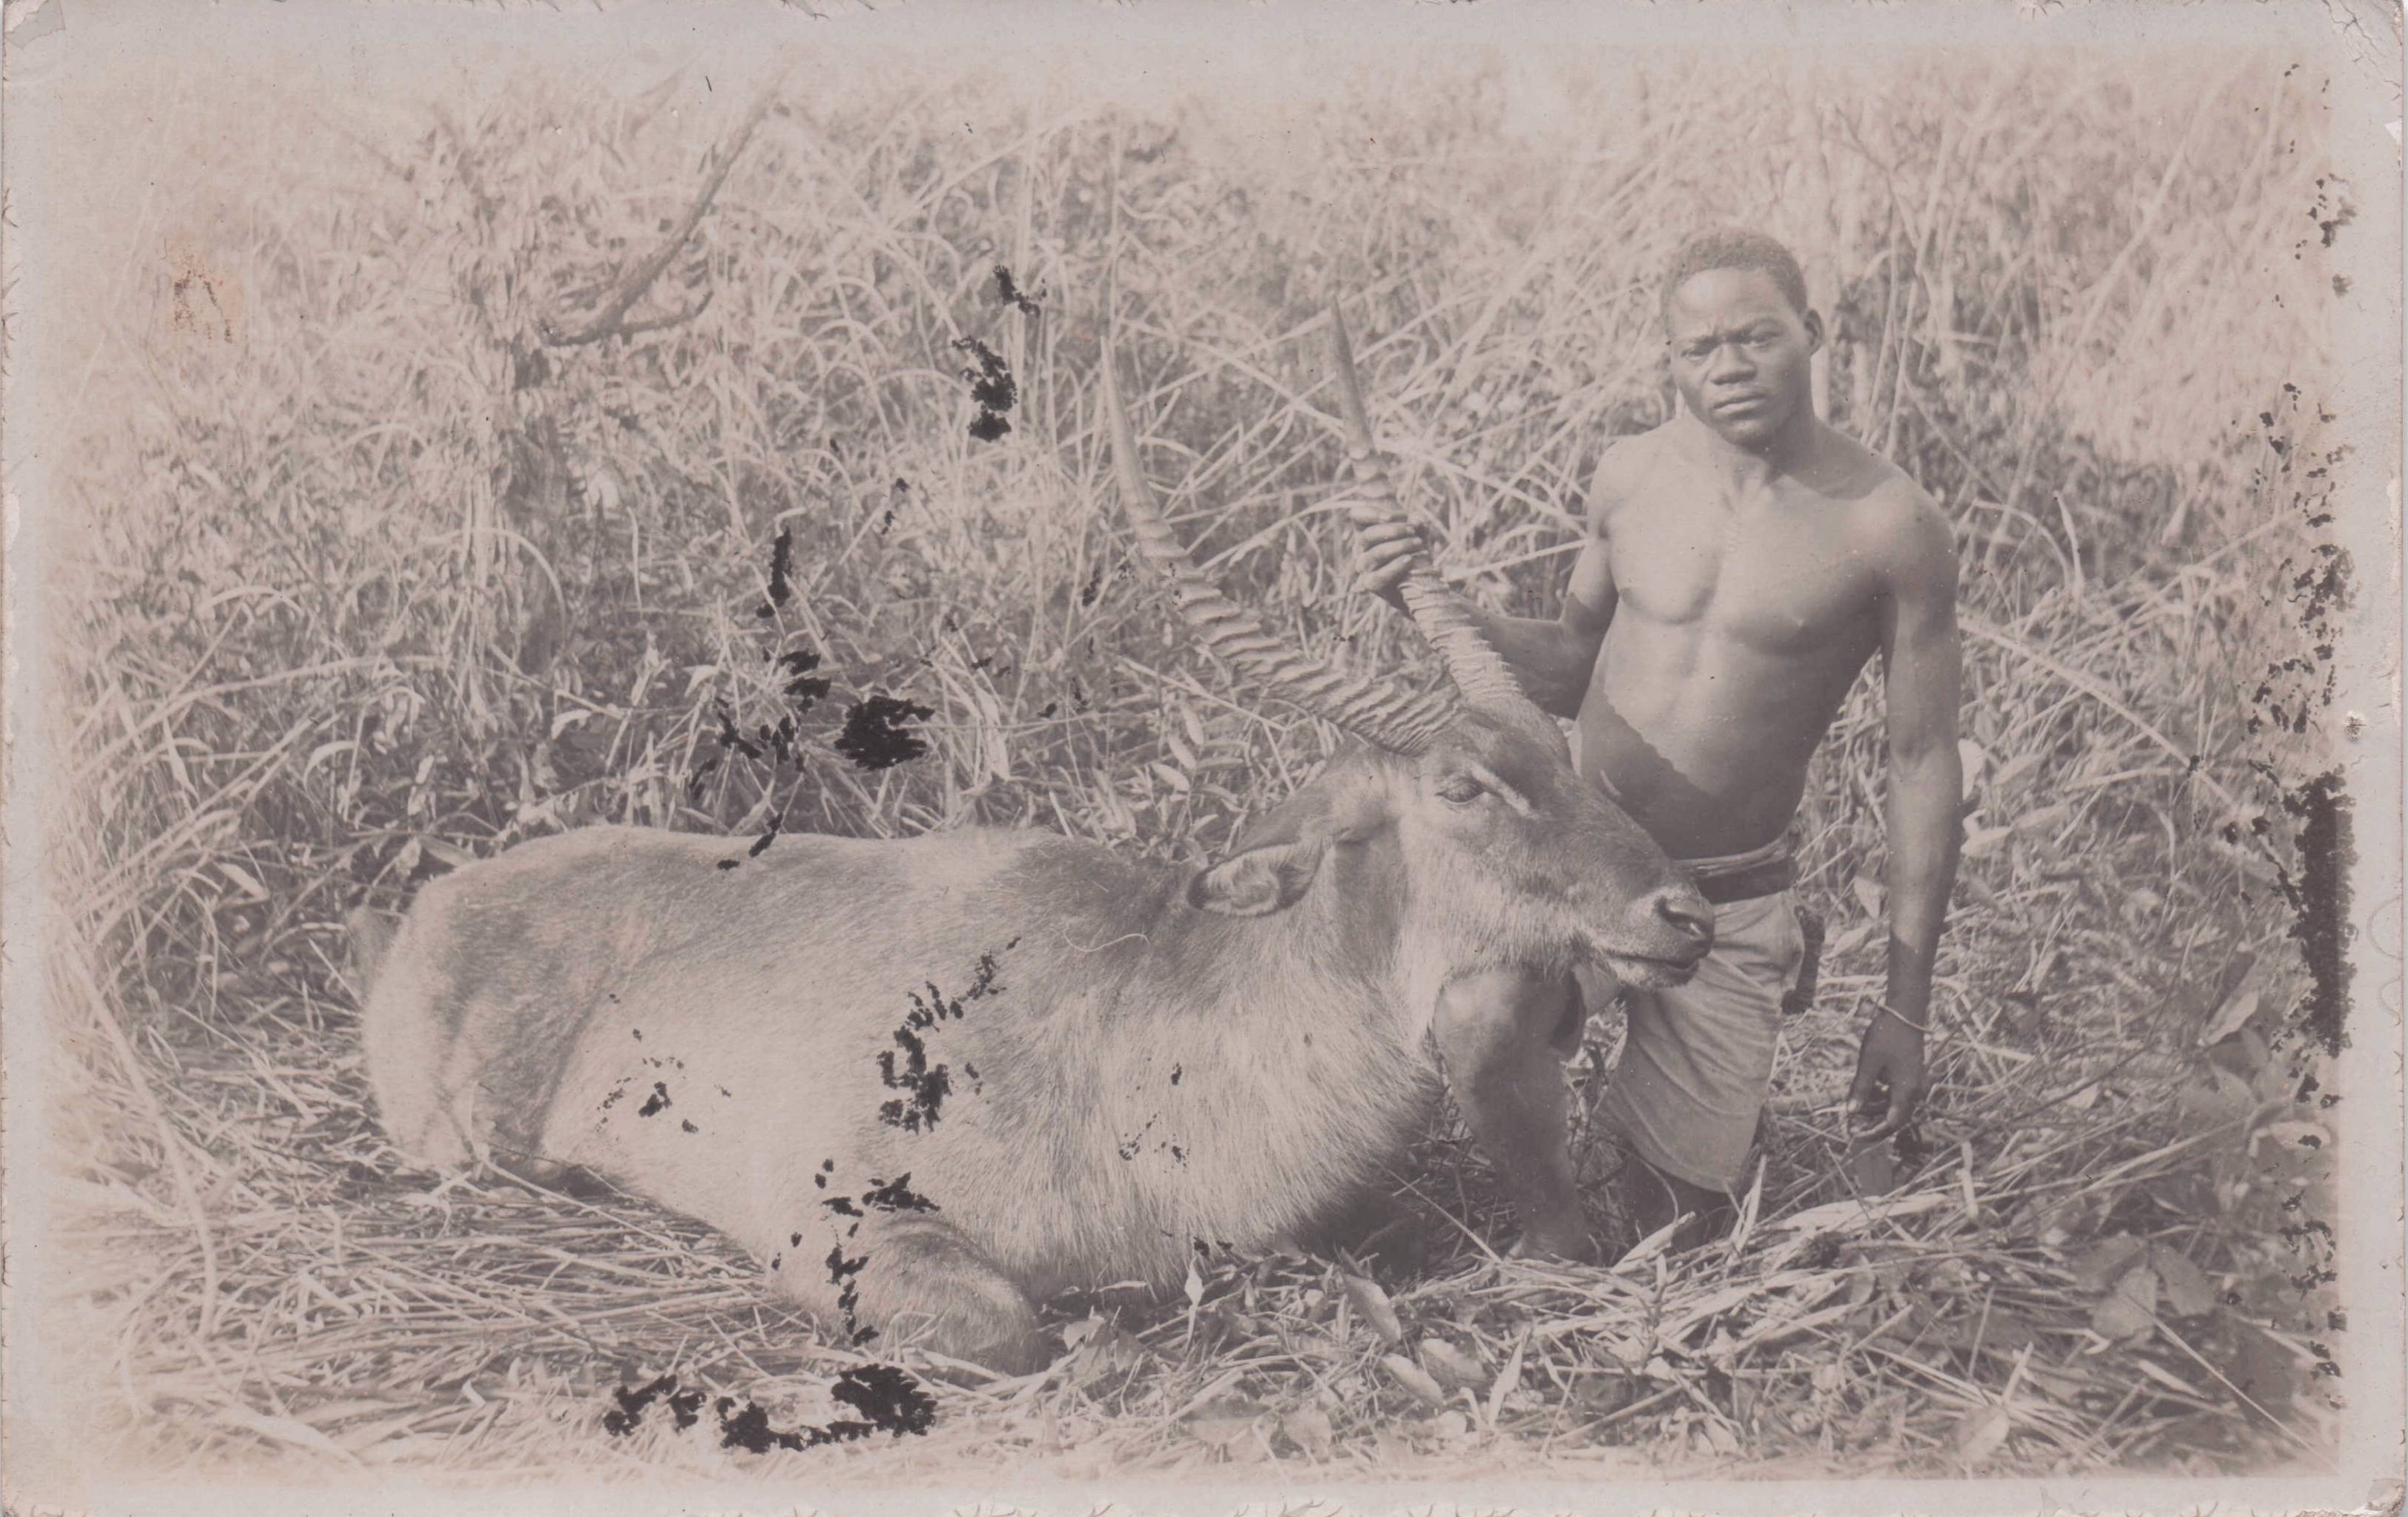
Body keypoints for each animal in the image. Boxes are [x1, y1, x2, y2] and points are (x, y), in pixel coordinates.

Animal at [349, 314, 1715, 1375]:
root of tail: (434, 904)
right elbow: (1014, 1330)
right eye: (1461, 784)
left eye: (1556, 746)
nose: (1682, 915)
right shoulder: (839, 1225)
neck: (1148, 1028)